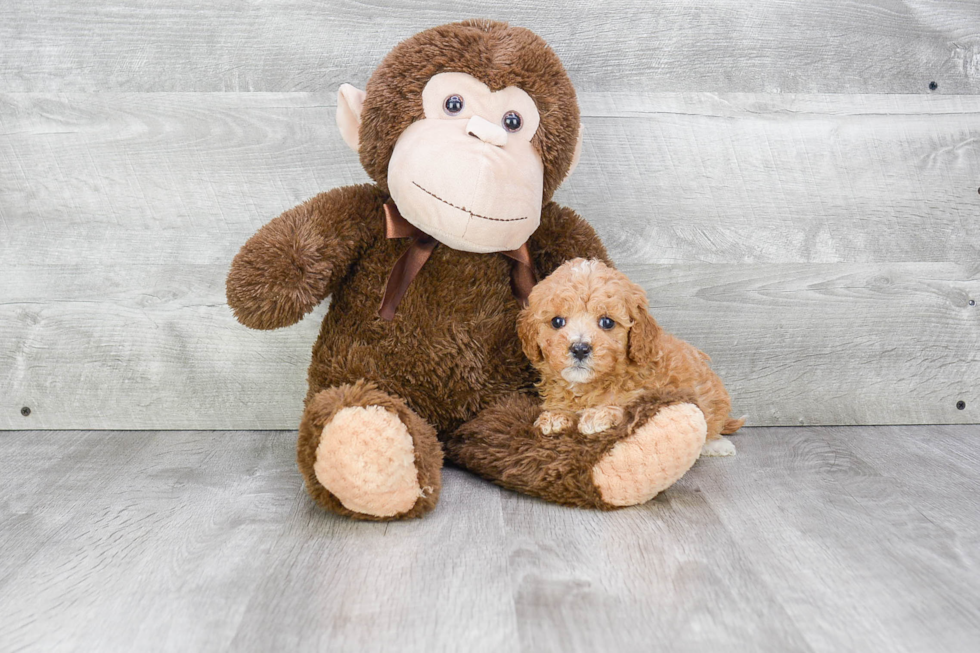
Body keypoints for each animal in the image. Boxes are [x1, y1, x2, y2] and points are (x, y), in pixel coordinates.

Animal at [520, 258, 744, 456]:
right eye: (557, 321)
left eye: (607, 322)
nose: (580, 349)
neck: (589, 386)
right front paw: (555, 416)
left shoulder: (647, 396)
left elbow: (625, 408)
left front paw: (598, 415)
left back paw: (718, 445)